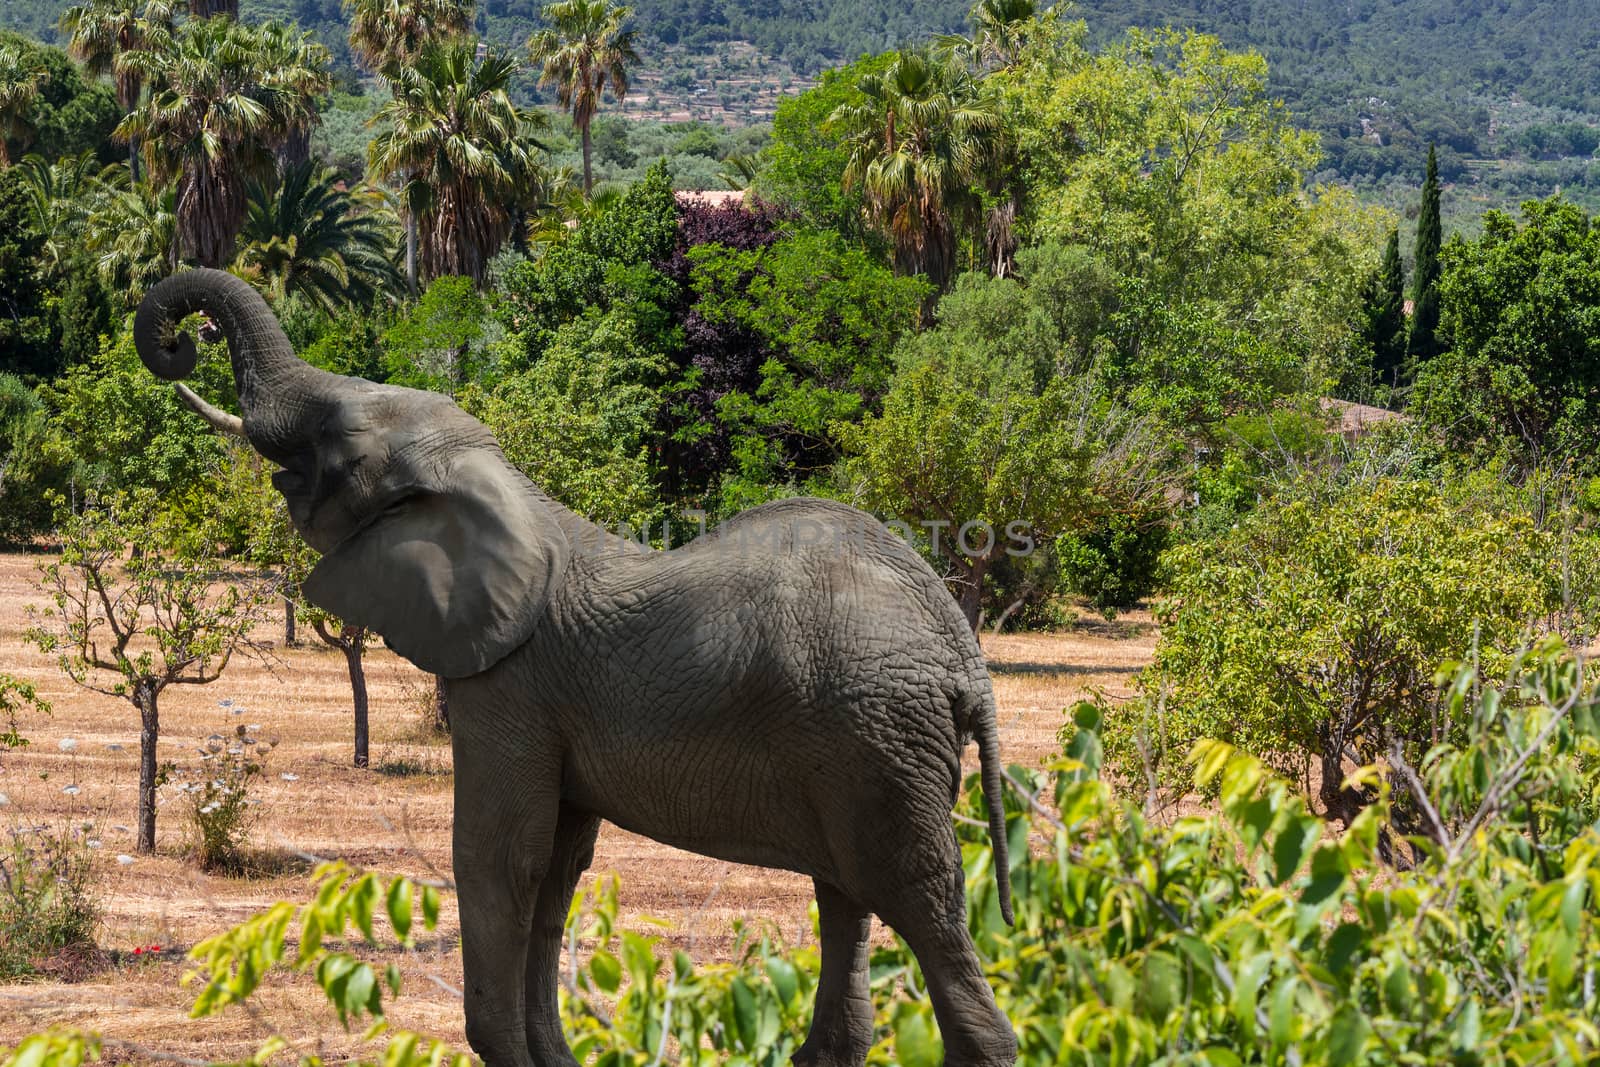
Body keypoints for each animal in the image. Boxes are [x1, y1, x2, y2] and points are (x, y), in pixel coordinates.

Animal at [134, 267, 1011, 1067]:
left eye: (334, 441)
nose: (187, 339)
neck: (505, 490)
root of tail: (964, 656)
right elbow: (557, 867)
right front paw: (551, 1055)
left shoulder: (509, 685)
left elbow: (501, 856)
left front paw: (507, 1052)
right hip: (864, 746)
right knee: (849, 902)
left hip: (878, 737)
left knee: (918, 904)